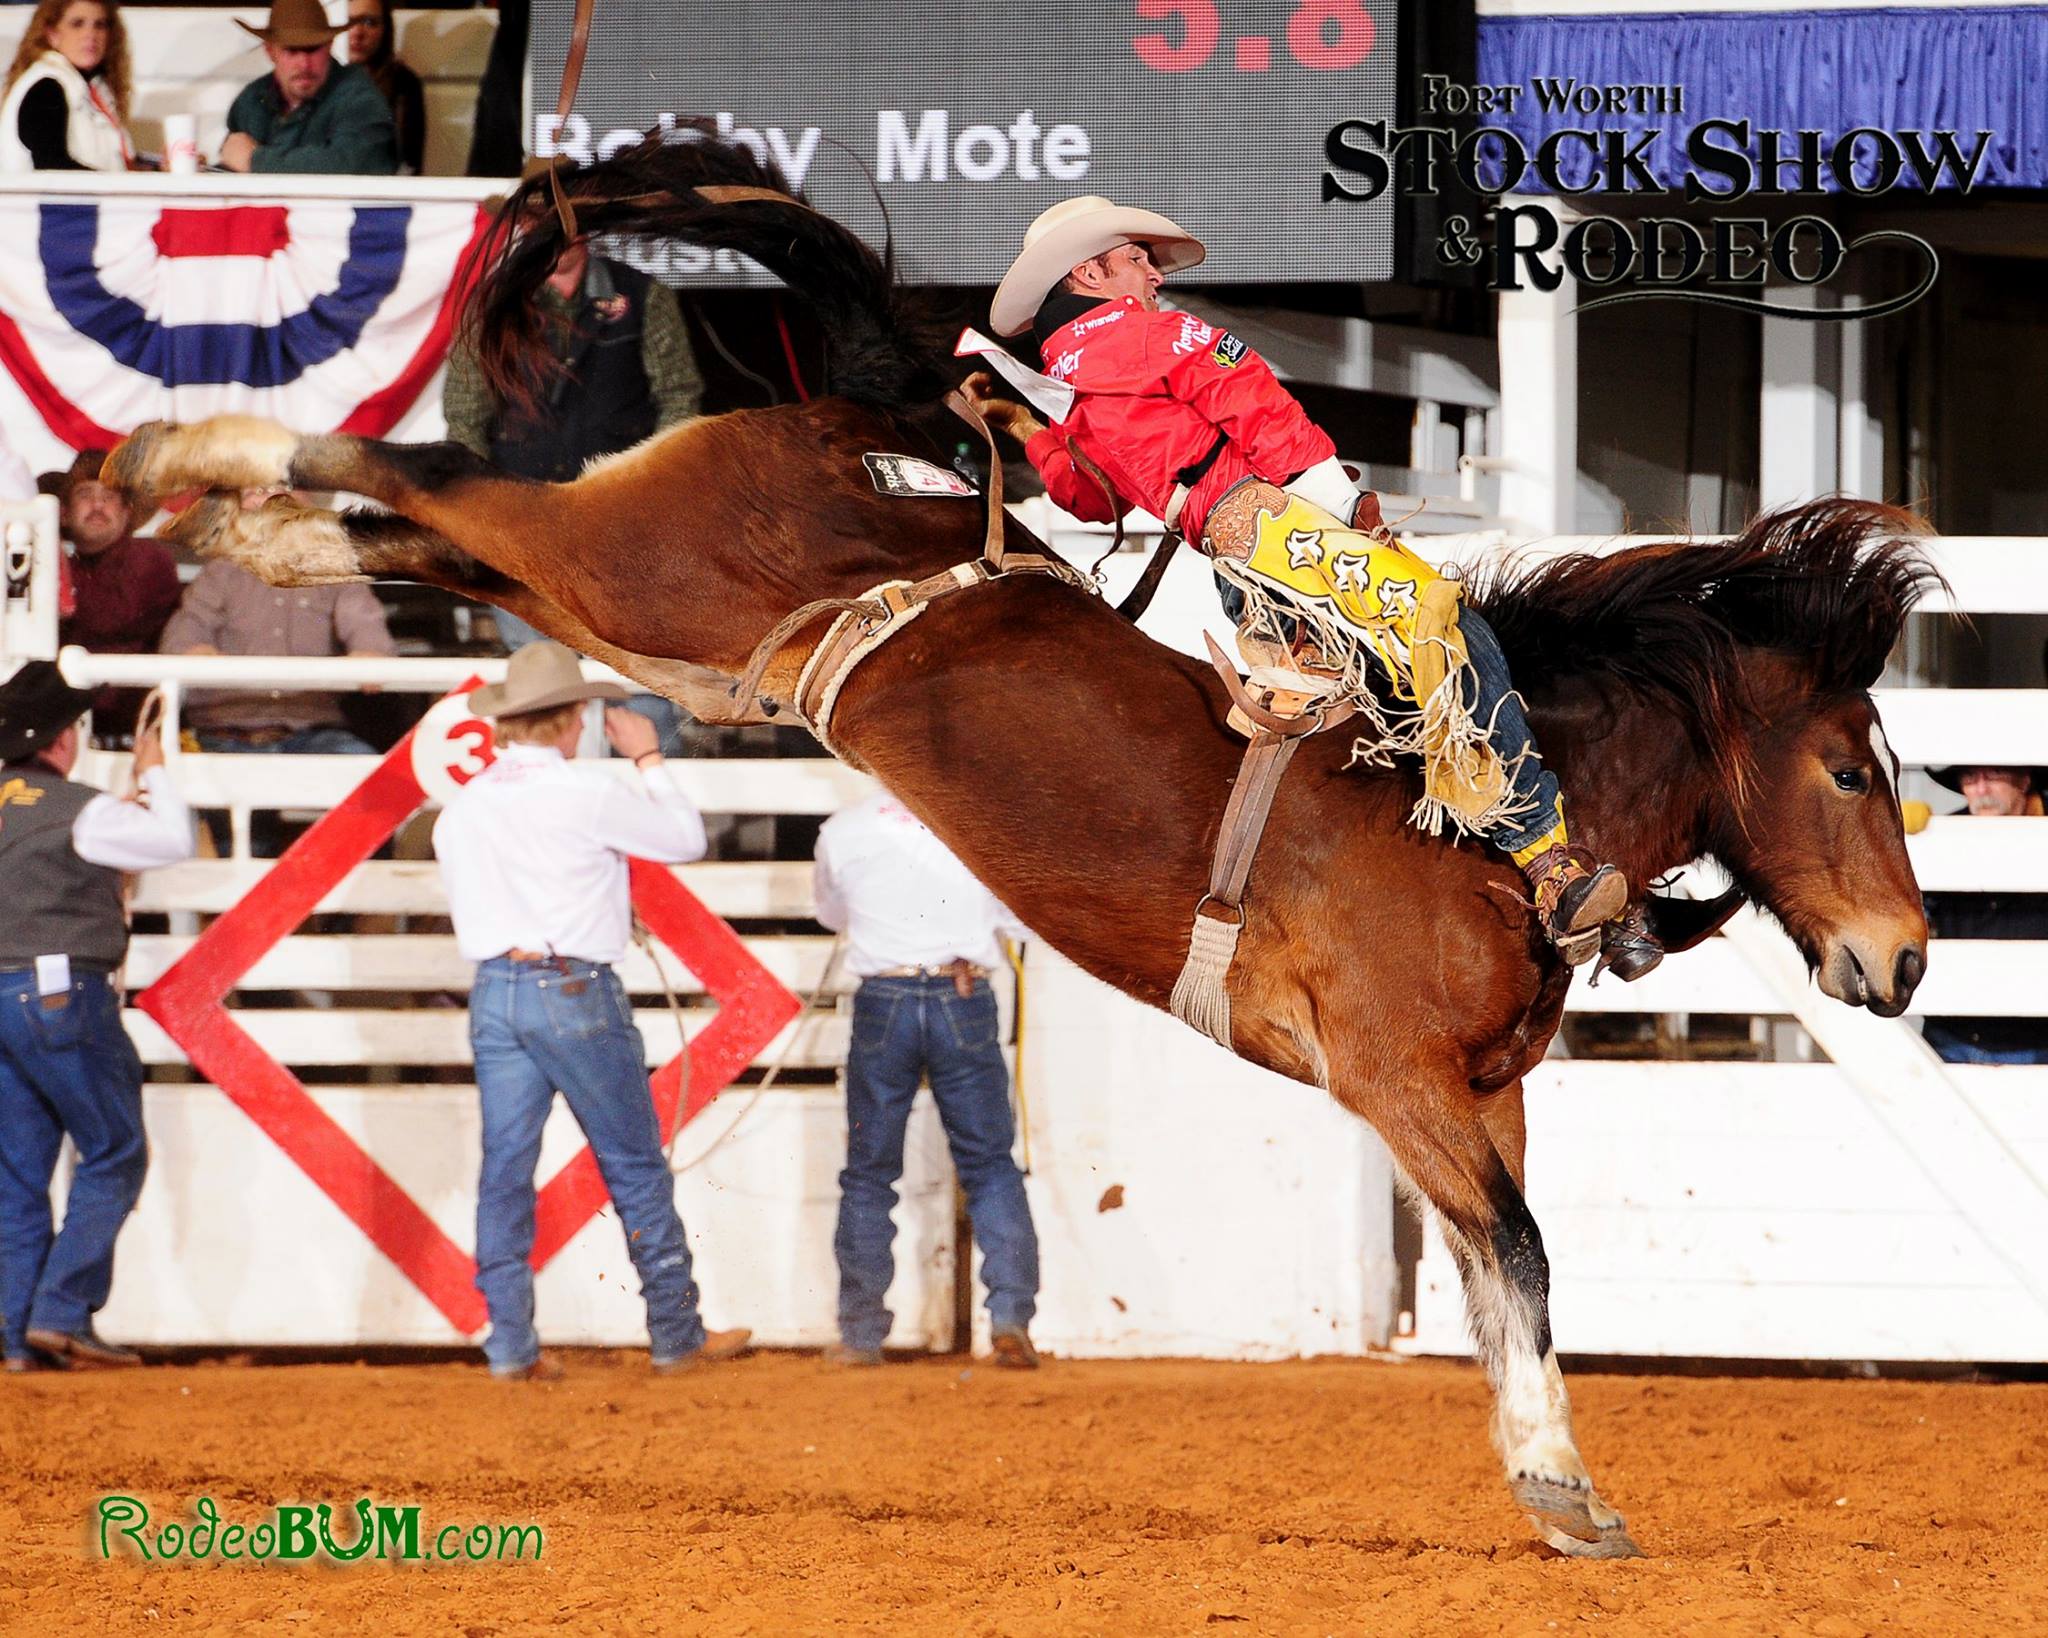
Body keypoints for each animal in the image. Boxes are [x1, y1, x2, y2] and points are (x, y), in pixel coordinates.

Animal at [103, 134, 1941, 1556]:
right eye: (1856, 766)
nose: (1906, 959)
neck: (1491, 821)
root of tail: (833, 427)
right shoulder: (1397, 1079)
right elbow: (1521, 1254)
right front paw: (1561, 1481)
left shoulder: (1479, 1097)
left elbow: (1513, 1272)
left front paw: (1551, 1478)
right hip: (619, 555)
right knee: (422, 462)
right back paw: (168, 453)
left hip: (617, 605)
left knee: (423, 525)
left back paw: (219, 512)